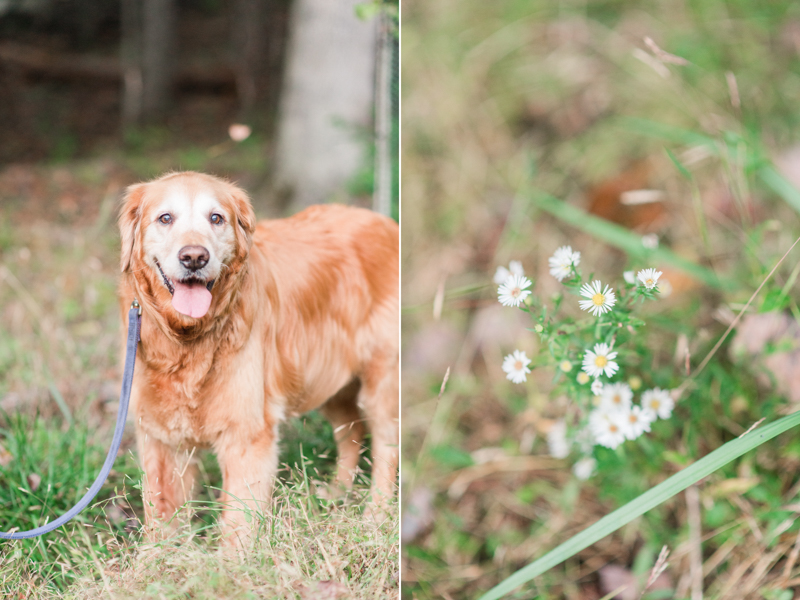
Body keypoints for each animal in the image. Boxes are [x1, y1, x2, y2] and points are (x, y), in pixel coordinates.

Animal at [117, 170, 398, 544]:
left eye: (216, 218)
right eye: (165, 218)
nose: (194, 257)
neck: (188, 339)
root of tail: (387, 223)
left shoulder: (247, 435)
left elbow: (237, 522)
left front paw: (231, 561)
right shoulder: (159, 437)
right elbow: (161, 513)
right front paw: (157, 557)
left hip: (380, 383)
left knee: (386, 446)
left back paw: (375, 515)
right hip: (327, 381)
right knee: (351, 431)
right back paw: (337, 492)